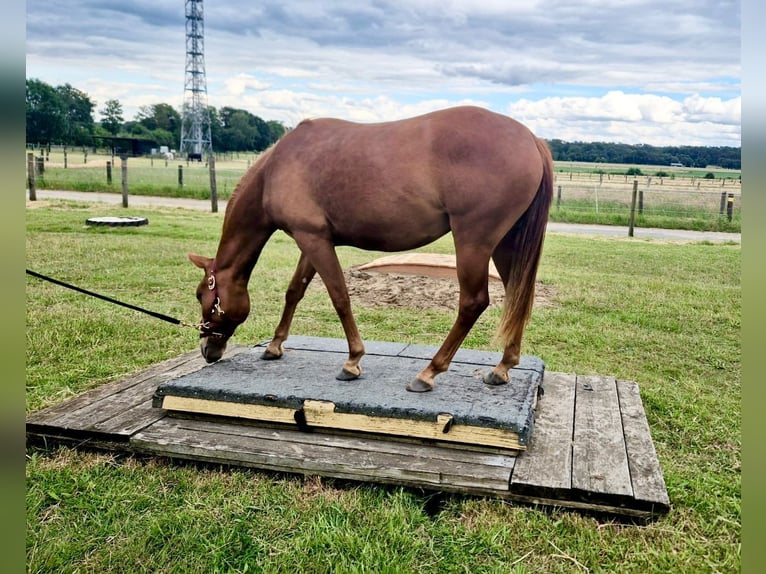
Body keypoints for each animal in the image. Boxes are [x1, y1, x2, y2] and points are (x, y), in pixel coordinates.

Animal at [190, 106, 556, 394]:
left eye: (201, 295)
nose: (208, 349)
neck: (275, 168)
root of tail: (530, 139)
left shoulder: (313, 239)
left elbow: (339, 297)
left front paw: (352, 361)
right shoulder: (313, 240)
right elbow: (295, 291)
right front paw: (276, 345)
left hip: (473, 242)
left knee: (473, 303)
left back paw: (429, 372)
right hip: (506, 244)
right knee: (517, 297)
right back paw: (502, 367)